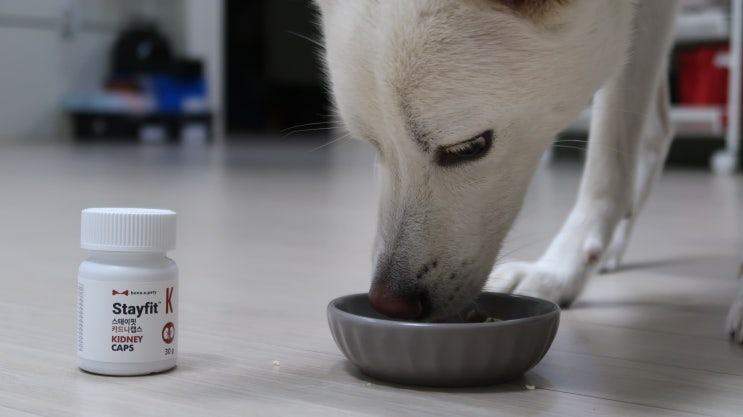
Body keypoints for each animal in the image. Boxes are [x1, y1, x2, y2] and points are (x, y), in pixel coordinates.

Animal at [313, 0, 743, 342]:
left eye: (467, 147)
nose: (389, 304)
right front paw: (560, 271)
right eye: (373, 144)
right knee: (656, 129)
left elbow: (606, 158)